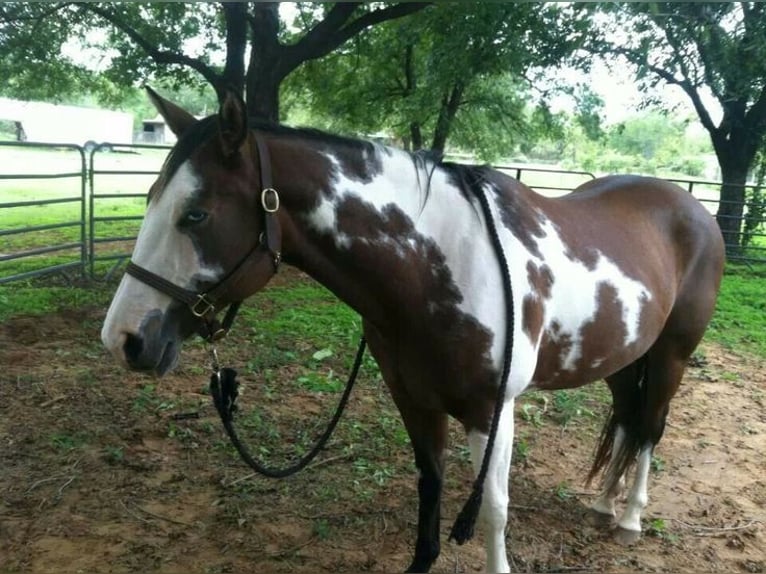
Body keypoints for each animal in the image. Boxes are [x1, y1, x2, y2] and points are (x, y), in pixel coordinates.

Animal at [101, 89, 725, 573]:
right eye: (151, 198)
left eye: (196, 213)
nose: (125, 339)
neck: (439, 265)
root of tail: (693, 208)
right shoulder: (414, 399)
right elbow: (430, 483)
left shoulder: (490, 411)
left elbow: (493, 506)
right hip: (622, 357)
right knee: (627, 419)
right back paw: (604, 503)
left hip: (671, 355)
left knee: (650, 428)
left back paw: (630, 516)